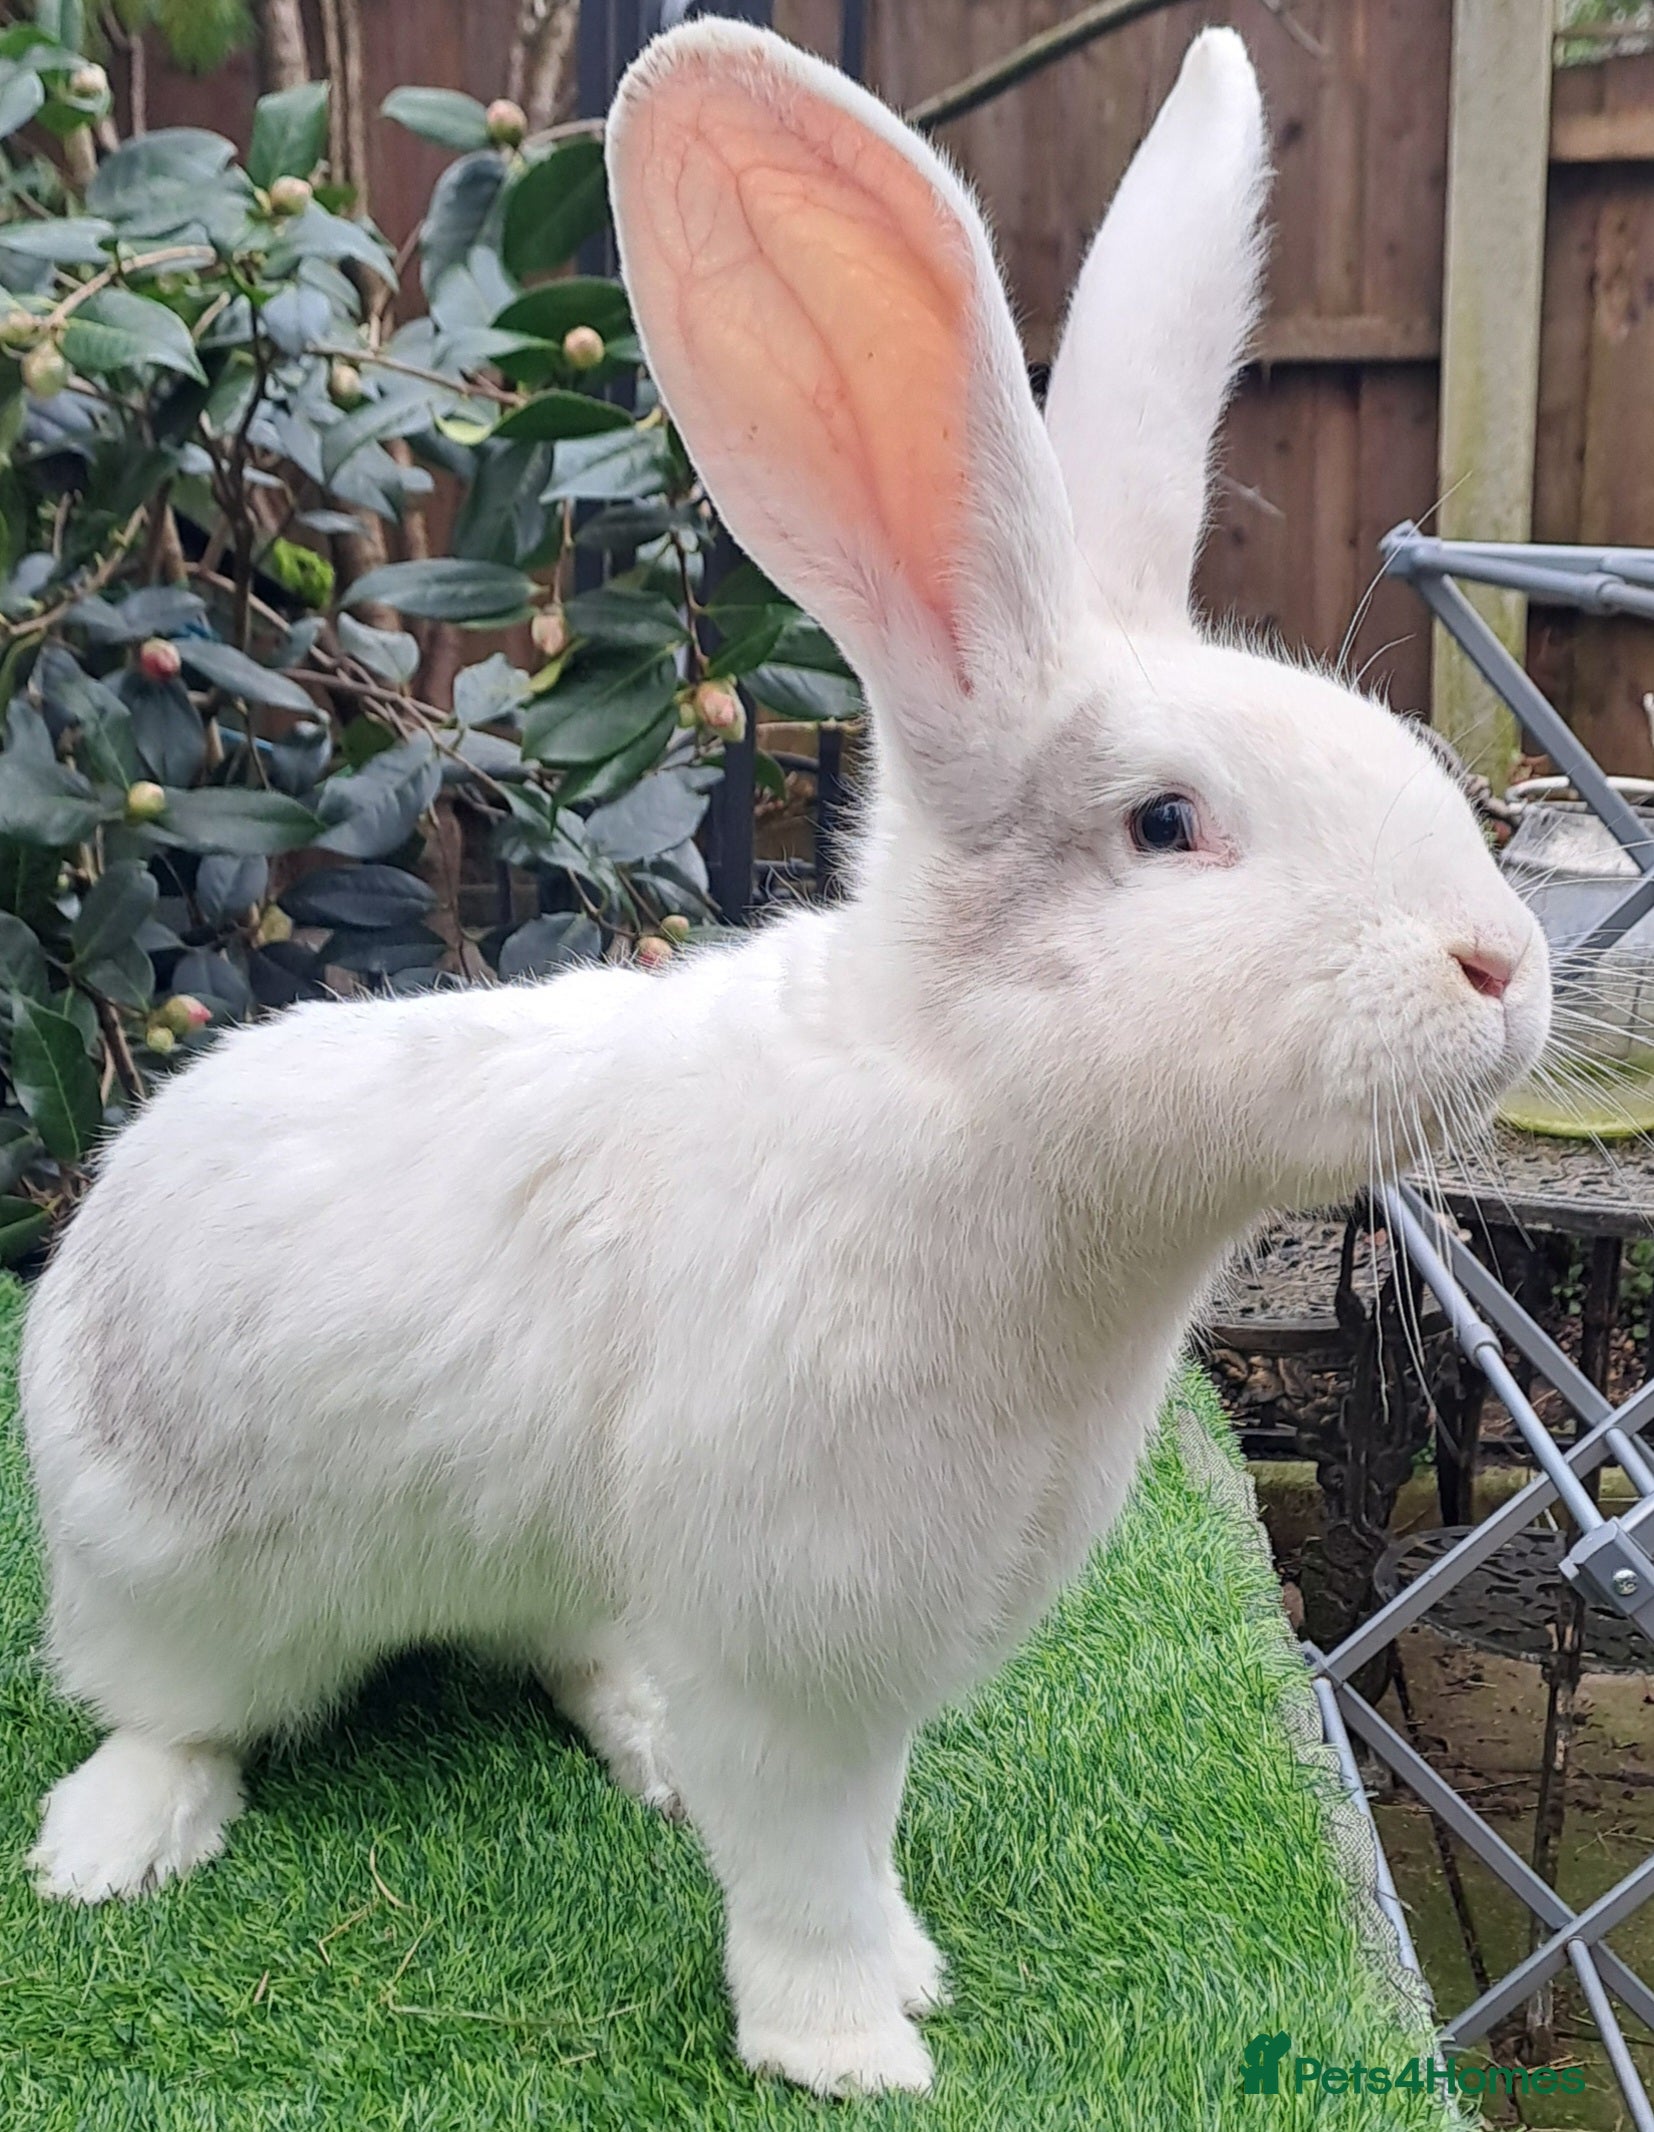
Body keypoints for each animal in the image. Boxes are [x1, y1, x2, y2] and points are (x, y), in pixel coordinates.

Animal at [20, 19, 1548, 2100]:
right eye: (1166, 825)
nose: (1504, 968)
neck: (966, 1105)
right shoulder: (800, 1629)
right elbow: (805, 1846)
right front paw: (847, 2045)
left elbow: (852, 1830)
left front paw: (896, 1974)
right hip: (167, 1572)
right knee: (167, 1702)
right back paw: (113, 1845)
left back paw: (629, 1734)